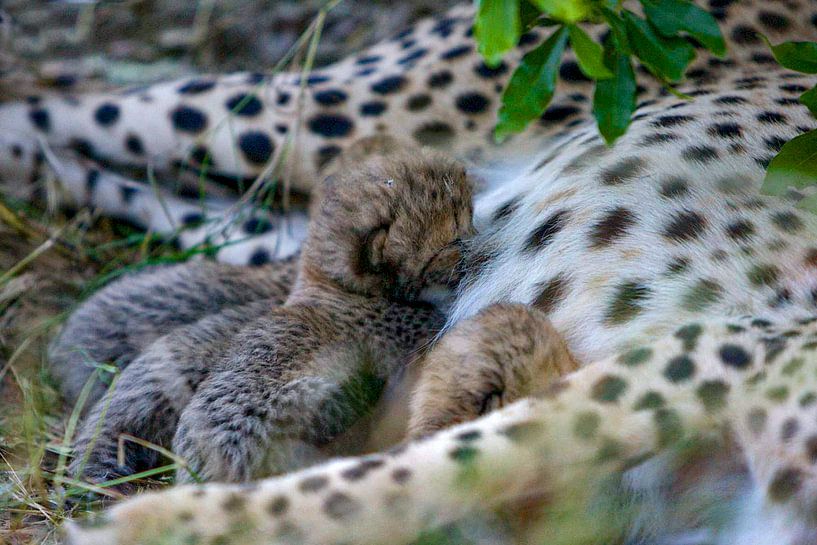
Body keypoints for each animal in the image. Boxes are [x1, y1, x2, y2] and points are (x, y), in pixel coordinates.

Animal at [0, 0, 816, 543]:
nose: (466, 246)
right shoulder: (699, 355)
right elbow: (408, 472)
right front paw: (165, 519)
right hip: (326, 111)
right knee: (79, 108)